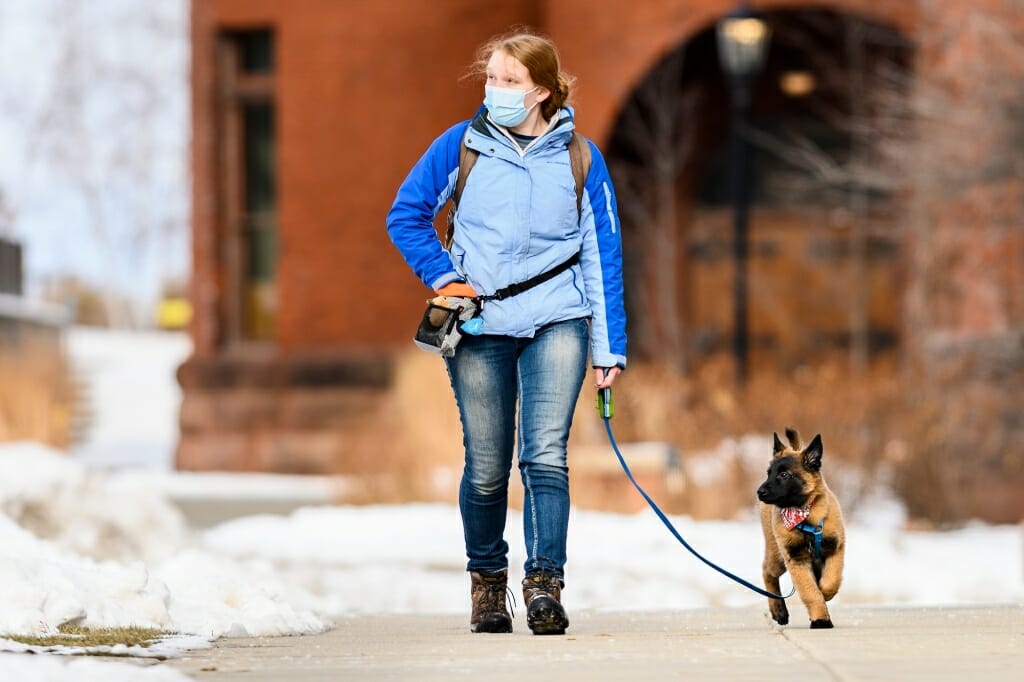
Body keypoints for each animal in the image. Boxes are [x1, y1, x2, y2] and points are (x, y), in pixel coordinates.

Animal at [757, 425, 843, 626]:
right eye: (768, 473)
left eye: (784, 474)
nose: (760, 492)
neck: (805, 515)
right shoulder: (796, 560)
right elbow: (810, 592)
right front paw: (821, 620)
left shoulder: (836, 549)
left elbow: (831, 581)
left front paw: (825, 594)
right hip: (777, 556)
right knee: (767, 572)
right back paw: (778, 611)